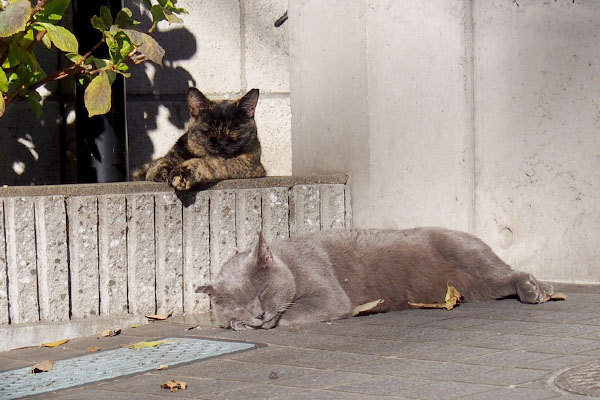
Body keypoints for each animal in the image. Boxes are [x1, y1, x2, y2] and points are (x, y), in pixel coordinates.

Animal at [136, 87, 268, 189]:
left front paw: (181, 173)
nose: (222, 142)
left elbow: (208, 162)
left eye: (235, 129)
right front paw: (160, 173)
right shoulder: (171, 155)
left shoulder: (247, 163)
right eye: (209, 127)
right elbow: (162, 161)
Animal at [196, 228, 552, 332]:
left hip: (471, 259)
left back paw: (537, 290)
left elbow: (290, 315)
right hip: (476, 287)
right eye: (239, 305)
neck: (291, 266)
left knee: (515, 272)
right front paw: (238, 325)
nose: (256, 314)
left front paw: (266, 322)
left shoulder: (328, 295)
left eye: (264, 290)